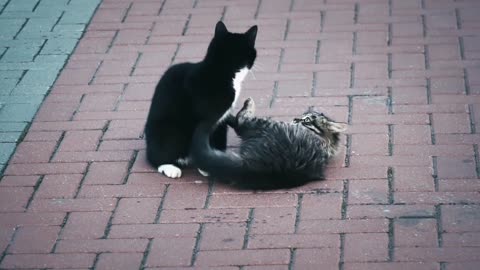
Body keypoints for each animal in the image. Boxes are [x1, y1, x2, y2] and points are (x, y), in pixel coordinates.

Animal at [144, 21, 256, 179]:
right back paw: (169, 167)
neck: (221, 70)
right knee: (155, 155)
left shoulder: (221, 119)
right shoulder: (206, 119)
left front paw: (213, 162)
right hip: (167, 131)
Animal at [192, 97, 348, 190]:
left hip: (262, 125)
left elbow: (239, 119)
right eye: (302, 116)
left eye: (307, 120)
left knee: (240, 120)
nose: (295, 119)